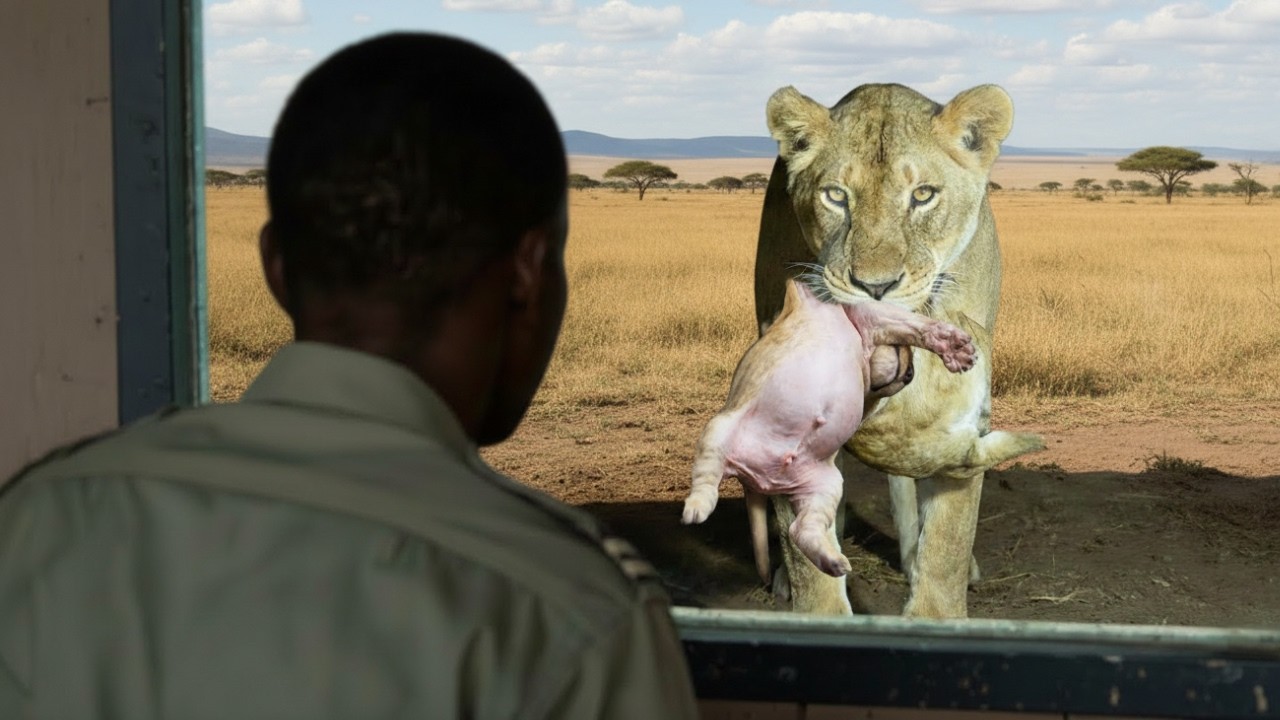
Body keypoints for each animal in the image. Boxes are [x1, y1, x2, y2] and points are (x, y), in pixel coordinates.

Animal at [752, 82, 1045, 618]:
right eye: (836, 195)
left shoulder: (968, 419)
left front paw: (936, 614)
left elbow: (948, 538)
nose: (875, 287)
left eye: (923, 195)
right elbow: (807, 553)